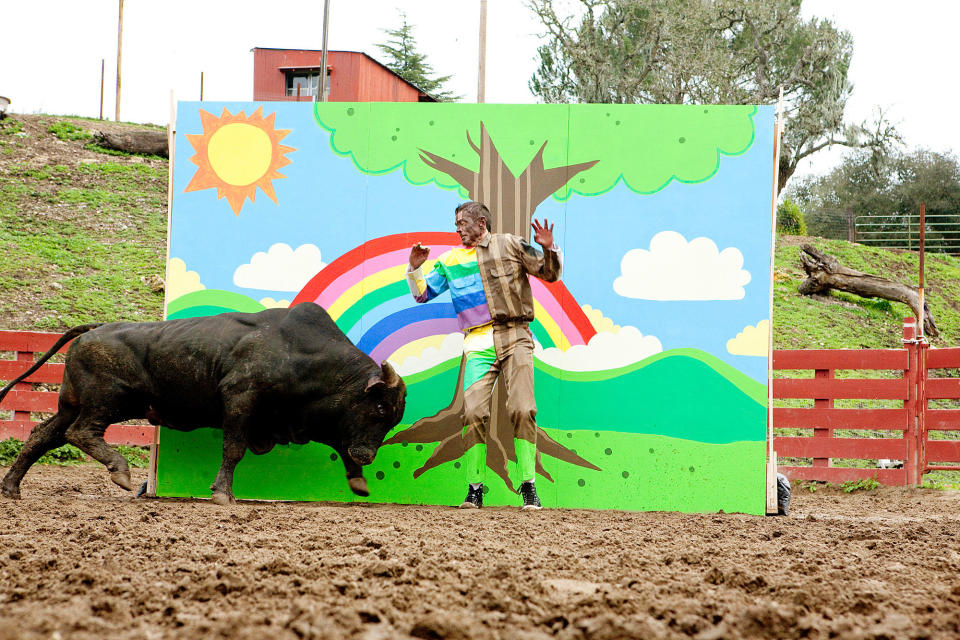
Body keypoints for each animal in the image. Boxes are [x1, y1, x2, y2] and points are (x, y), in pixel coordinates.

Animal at [0, 304, 404, 504]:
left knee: (41, 437)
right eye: (380, 409)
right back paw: (120, 471)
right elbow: (234, 449)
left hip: (71, 404)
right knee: (81, 432)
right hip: (107, 402)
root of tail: (94, 330)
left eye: (393, 418)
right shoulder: (240, 399)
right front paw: (223, 493)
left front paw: (359, 479)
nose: (369, 455)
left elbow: (339, 443)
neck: (299, 351)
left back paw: (11, 488)